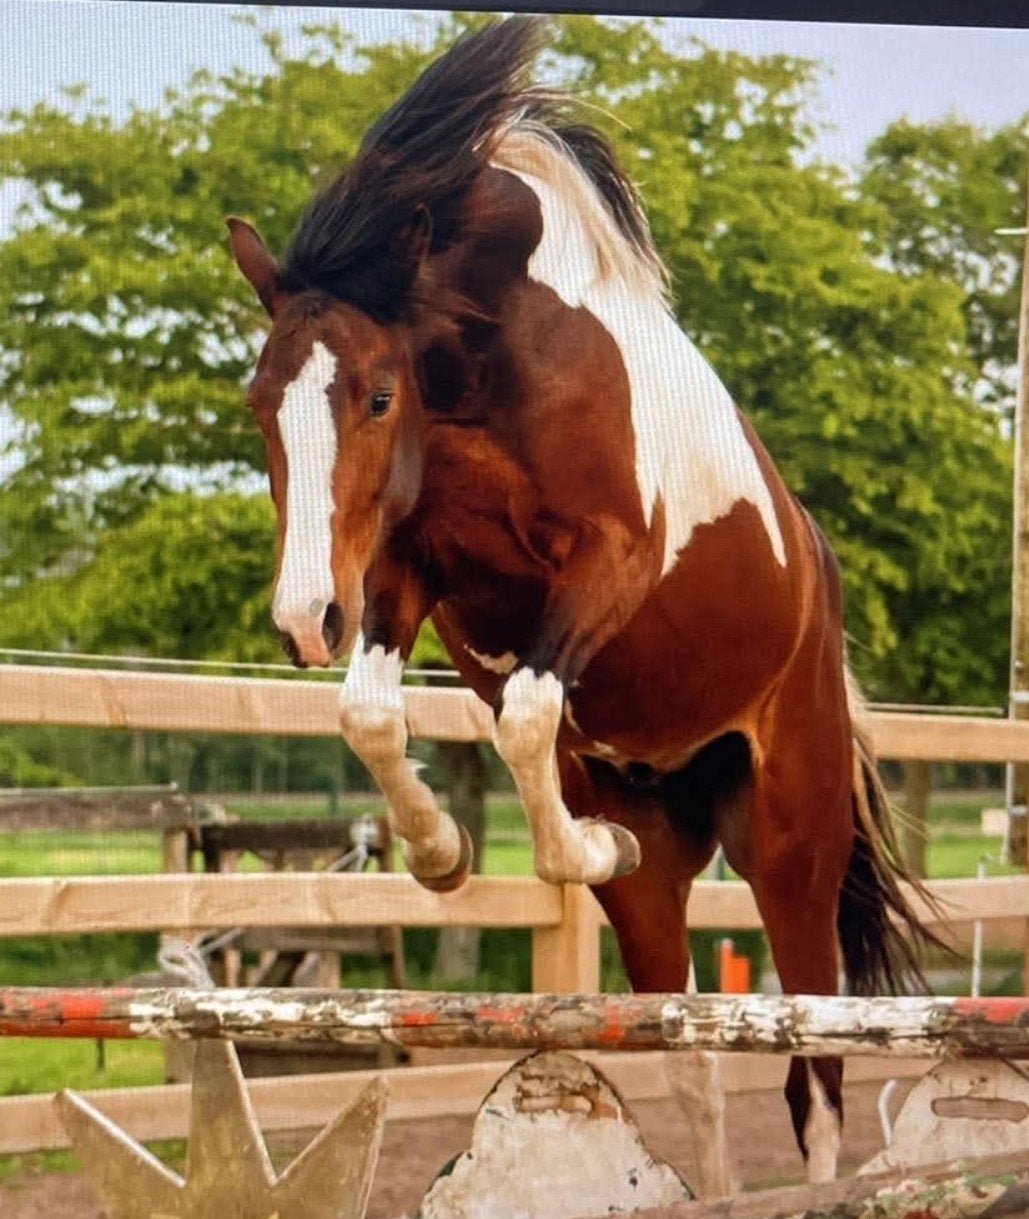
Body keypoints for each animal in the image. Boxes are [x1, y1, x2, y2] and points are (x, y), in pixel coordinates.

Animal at [228, 16, 933, 1193]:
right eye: (258, 404)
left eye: (376, 394)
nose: (303, 619)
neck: (494, 364)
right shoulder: (408, 567)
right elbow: (371, 713)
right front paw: (442, 852)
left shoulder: (609, 564)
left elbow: (522, 715)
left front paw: (585, 847)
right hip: (672, 865)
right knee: (695, 1055)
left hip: (790, 851)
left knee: (815, 1075)